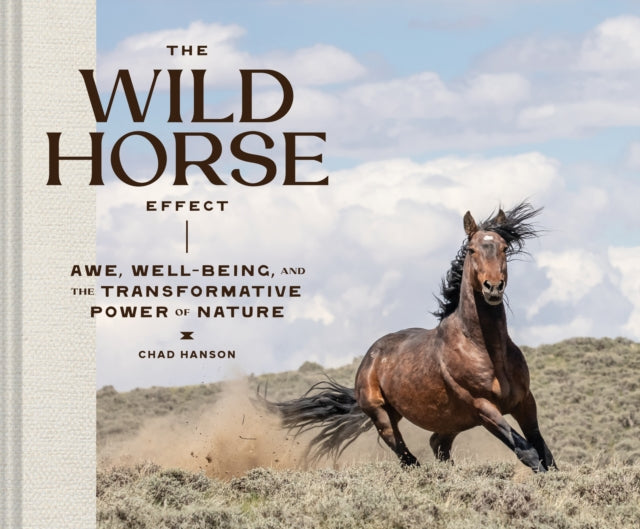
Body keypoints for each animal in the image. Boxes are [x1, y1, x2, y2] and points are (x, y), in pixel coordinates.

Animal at [263, 202, 556, 473]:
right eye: (472, 250)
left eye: (504, 247)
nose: (493, 287)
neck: (485, 349)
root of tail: (370, 358)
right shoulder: (484, 407)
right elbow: (528, 452)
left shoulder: (524, 402)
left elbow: (545, 453)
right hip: (383, 417)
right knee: (407, 457)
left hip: (452, 420)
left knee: (437, 445)